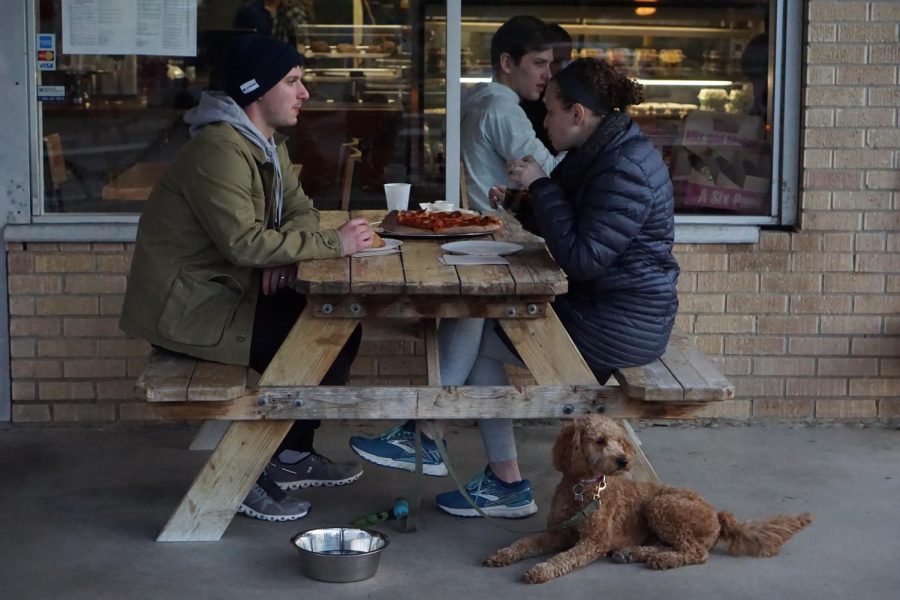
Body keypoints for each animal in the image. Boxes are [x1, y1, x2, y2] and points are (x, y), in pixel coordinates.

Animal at [486, 414, 816, 584]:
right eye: (599, 441)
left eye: (620, 442)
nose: (622, 461)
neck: (584, 490)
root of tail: (718, 514)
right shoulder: (558, 532)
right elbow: (526, 542)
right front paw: (503, 554)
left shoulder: (593, 542)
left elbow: (564, 558)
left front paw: (540, 570)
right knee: (674, 545)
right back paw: (634, 553)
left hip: (662, 506)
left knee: (695, 553)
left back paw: (658, 560)